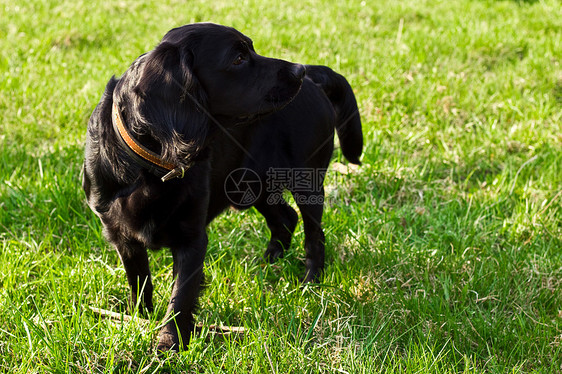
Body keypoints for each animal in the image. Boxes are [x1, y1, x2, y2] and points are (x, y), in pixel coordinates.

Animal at [83, 23, 364, 350]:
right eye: (238, 58)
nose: (299, 70)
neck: (151, 165)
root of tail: (315, 77)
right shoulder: (122, 236)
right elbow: (139, 282)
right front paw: (141, 319)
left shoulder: (192, 238)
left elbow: (181, 296)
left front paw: (169, 343)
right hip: (251, 184)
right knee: (285, 217)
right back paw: (270, 261)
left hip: (305, 181)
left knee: (313, 234)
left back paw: (310, 283)